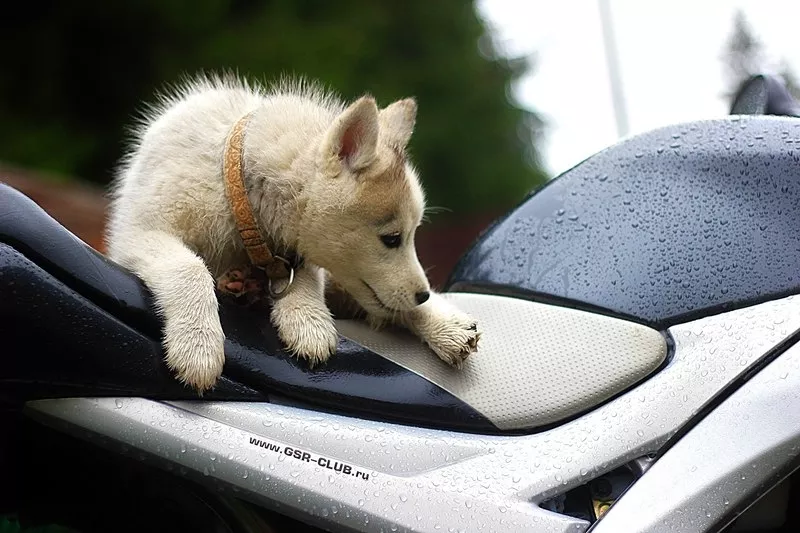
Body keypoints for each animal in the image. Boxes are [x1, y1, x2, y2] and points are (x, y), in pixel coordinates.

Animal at [106, 74, 482, 390]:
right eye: (392, 239)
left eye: (411, 234)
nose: (422, 296)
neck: (236, 191)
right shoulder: (136, 233)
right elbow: (190, 268)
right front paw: (198, 344)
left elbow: (305, 274)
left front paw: (306, 318)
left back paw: (450, 329)